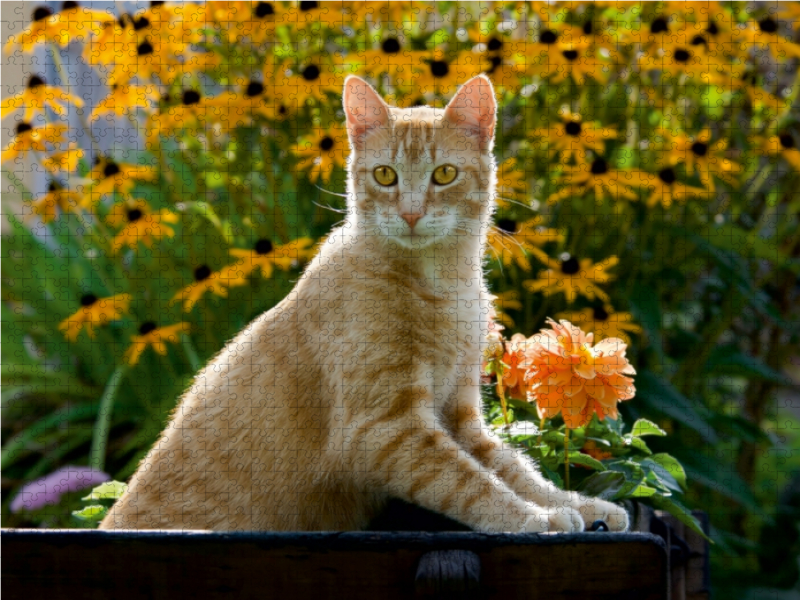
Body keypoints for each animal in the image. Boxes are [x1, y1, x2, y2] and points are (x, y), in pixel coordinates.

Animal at [100, 76, 628, 536]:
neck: (444, 283)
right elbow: (472, 484)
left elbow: (516, 470)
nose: (411, 213)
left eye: (444, 174)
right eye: (385, 175)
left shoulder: (460, 415)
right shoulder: (386, 429)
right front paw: (533, 518)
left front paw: (579, 505)